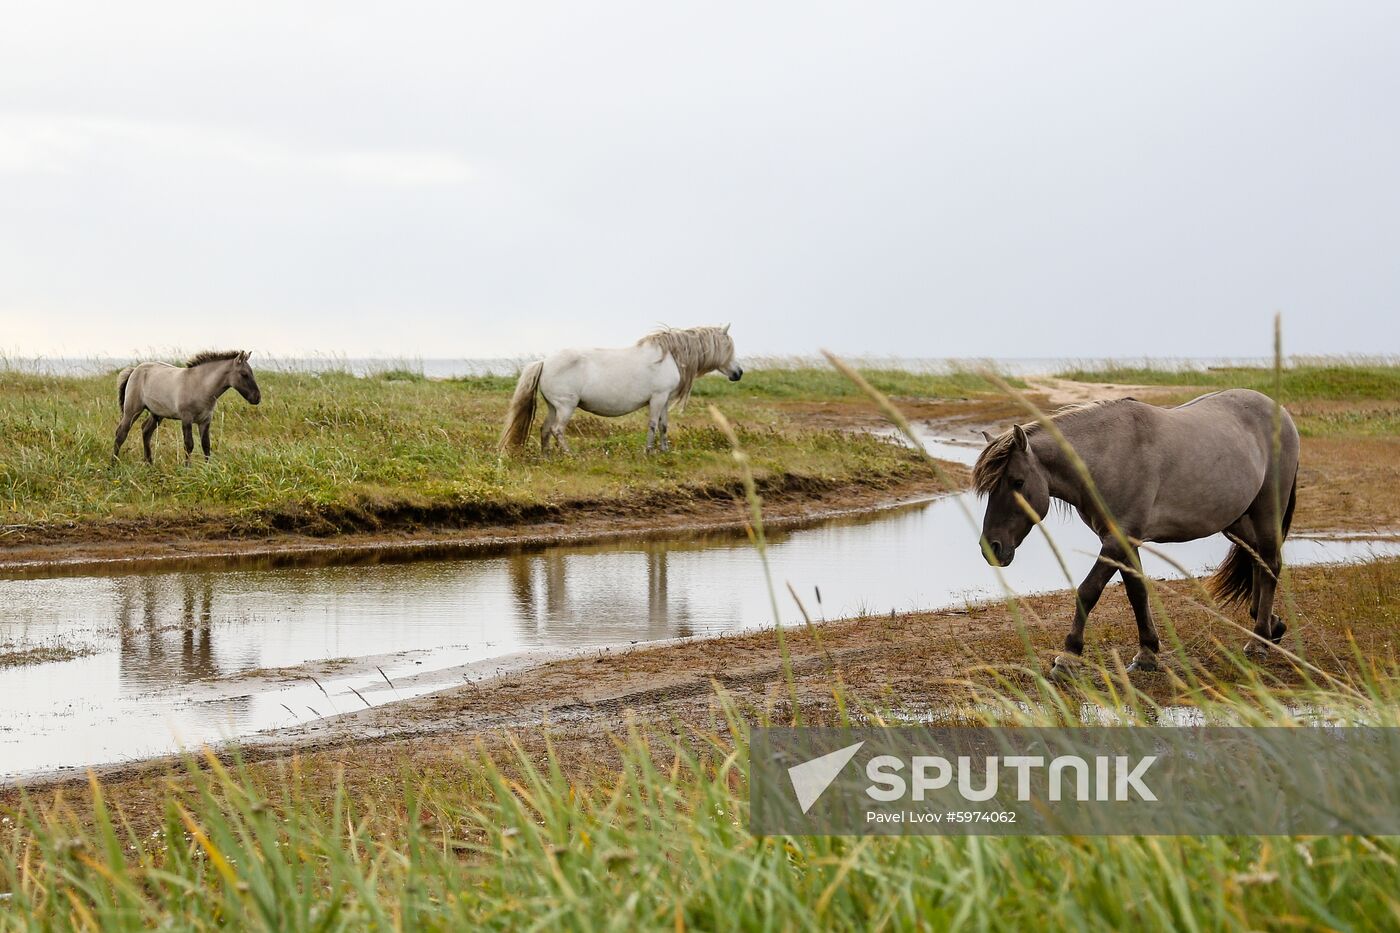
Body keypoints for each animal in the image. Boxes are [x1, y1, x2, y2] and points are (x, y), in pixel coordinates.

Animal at [113, 348, 261, 462]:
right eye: (244, 374)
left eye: (252, 373)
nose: (257, 398)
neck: (200, 385)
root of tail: (134, 370)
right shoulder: (186, 418)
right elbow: (189, 445)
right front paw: (187, 470)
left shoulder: (205, 420)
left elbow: (206, 446)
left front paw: (208, 469)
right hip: (132, 411)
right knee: (121, 433)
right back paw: (113, 464)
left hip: (157, 414)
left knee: (146, 431)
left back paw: (149, 463)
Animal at [501, 325, 744, 451]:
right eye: (728, 348)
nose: (739, 373)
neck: (668, 356)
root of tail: (544, 362)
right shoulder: (657, 398)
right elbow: (653, 424)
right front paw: (648, 452)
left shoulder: (664, 399)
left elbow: (664, 425)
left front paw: (665, 451)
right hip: (566, 407)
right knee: (557, 430)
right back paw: (570, 456)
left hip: (554, 406)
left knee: (545, 429)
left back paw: (548, 457)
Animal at [974, 386, 1299, 675]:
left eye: (1017, 482)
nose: (992, 548)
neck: (1109, 456)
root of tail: (1280, 412)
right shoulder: (1126, 541)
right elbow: (1137, 592)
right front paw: (1147, 653)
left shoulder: (1117, 540)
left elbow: (1088, 591)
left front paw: (1068, 657)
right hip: (1236, 522)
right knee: (1259, 560)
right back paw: (1270, 625)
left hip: (1266, 512)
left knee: (1270, 565)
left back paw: (1258, 641)